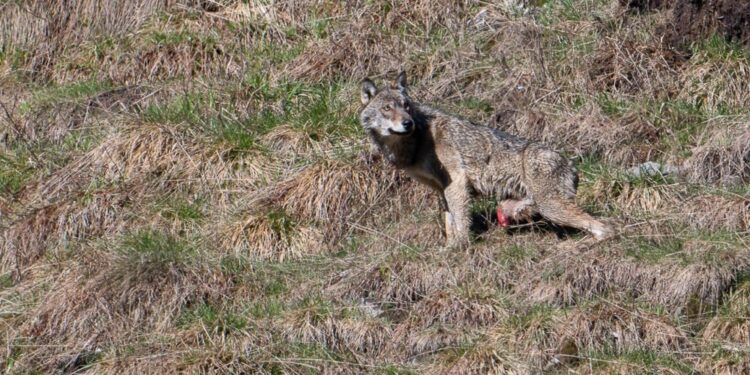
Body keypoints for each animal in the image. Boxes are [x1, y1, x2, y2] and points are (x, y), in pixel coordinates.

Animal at [362, 71, 612, 248]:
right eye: (387, 108)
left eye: (406, 106)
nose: (408, 123)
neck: (417, 140)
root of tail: (571, 164)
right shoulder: (442, 189)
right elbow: (449, 220)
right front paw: (449, 248)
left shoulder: (456, 182)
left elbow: (460, 220)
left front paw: (461, 247)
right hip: (529, 205)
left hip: (552, 207)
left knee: (604, 227)